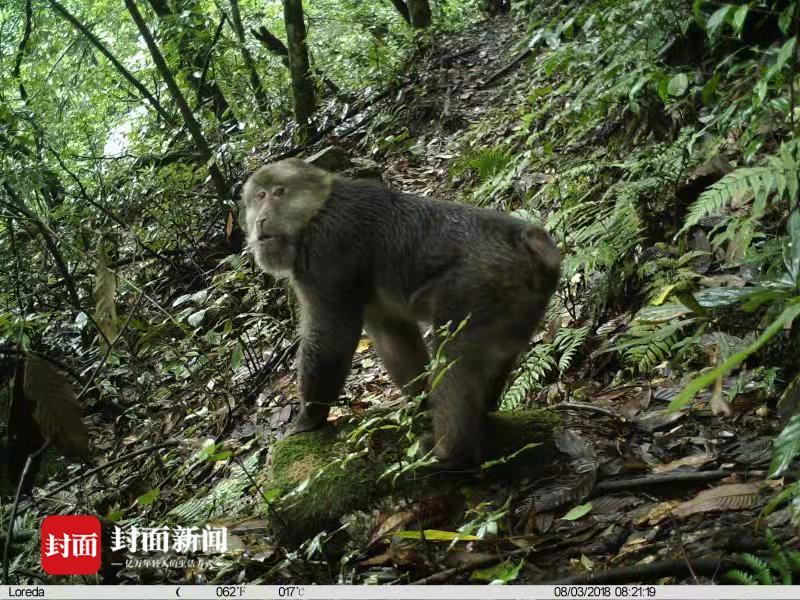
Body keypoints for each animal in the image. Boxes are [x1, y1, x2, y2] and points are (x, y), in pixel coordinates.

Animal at [241, 159, 560, 468]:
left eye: (278, 193)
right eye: (258, 197)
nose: (260, 220)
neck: (317, 211)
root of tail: (526, 238)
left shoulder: (324, 251)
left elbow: (331, 336)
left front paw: (307, 419)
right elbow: (392, 335)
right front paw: (420, 402)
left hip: (477, 285)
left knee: (455, 355)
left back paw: (450, 451)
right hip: (518, 301)